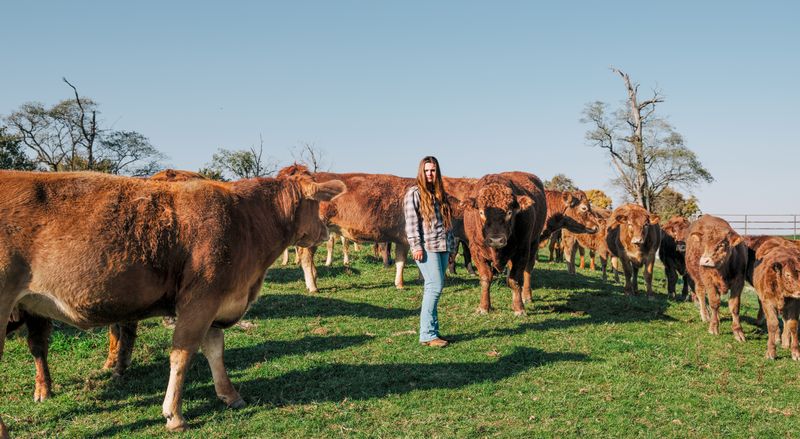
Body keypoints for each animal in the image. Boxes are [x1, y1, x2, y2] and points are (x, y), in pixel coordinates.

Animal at [0, 170, 344, 434]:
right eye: (319, 203)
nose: (327, 232)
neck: (244, 220)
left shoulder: (215, 302)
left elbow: (215, 349)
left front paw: (229, 394)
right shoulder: (200, 300)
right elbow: (183, 354)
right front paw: (174, 415)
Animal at [460, 173, 548, 316]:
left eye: (509, 212)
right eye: (481, 212)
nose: (496, 240)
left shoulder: (522, 251)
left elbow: (515, 280)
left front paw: (519, 308)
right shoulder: (476, 251)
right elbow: (485, 278)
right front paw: (483, 307)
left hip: (534, 244)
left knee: (528, 270)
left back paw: (526, 296)